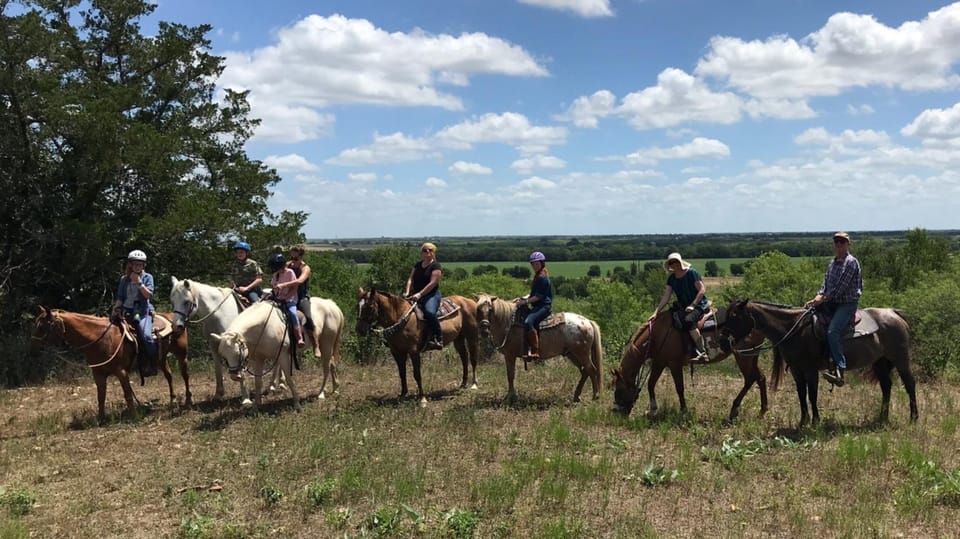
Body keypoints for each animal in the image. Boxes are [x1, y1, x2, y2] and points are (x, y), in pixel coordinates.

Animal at [30, 306, 191, 424]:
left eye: (42, 327)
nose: (33, 348)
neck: (99, 338)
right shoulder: (98, 374)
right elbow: (101, 396)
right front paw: (101, 419)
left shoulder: (121, 372)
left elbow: (128, 394)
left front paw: (134, 416)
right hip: (161, 358)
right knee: (169, 375)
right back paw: (172, 400)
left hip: (181, 355)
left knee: (185, 375)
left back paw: (188, 402)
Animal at [476, 296, 604, 404]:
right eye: (478, 309)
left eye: (490, 309)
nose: (484, 330)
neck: (508, 323)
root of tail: (587, 322)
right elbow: (511, 375)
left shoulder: (509, 355)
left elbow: (510, 375)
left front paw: (510, 397)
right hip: (572, 354)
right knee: (585, 371)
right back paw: (577, 396)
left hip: (582, 354)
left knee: (591, 370)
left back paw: (595, 396)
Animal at [612, 312, 768, 422]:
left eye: (619, 389)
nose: (616, 412)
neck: (658, 334)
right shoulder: (659, 363)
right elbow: (651, 384)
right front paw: (653, 410)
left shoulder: (674, 364)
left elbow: (679, 388)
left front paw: (684, 411)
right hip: (751, 356)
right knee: (760, 378)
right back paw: (762, 411)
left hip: (743, 357)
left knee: (750, 379)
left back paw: (734, 410)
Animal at [724, 300, 920, 426]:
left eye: (734, 315)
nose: (724, 339)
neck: (794, 328)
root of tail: (894, 313)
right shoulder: (796, 369)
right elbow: (801, 394)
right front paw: (803, 421)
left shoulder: (811, 370)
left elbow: (812, 395)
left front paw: (815, 421)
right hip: (880, 362)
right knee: (886, 386)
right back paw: (882, 419)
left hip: (900, 359)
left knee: (910, 384)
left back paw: (914, 417)